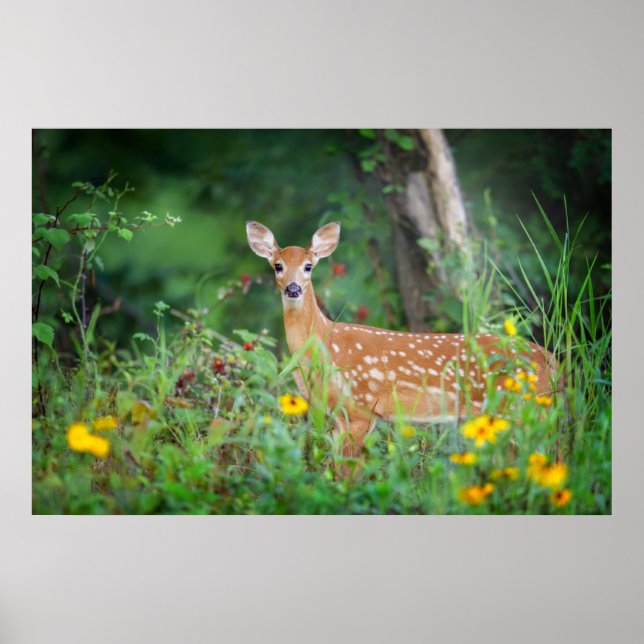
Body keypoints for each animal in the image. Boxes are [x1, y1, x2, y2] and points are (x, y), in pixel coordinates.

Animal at [246, 220, 559, 461]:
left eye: (309, 266)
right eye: (277, 266)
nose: (293, 289)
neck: (324, 343)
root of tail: (554, 362)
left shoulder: (360, 408)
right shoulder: (336, 416)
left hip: (524, 408)